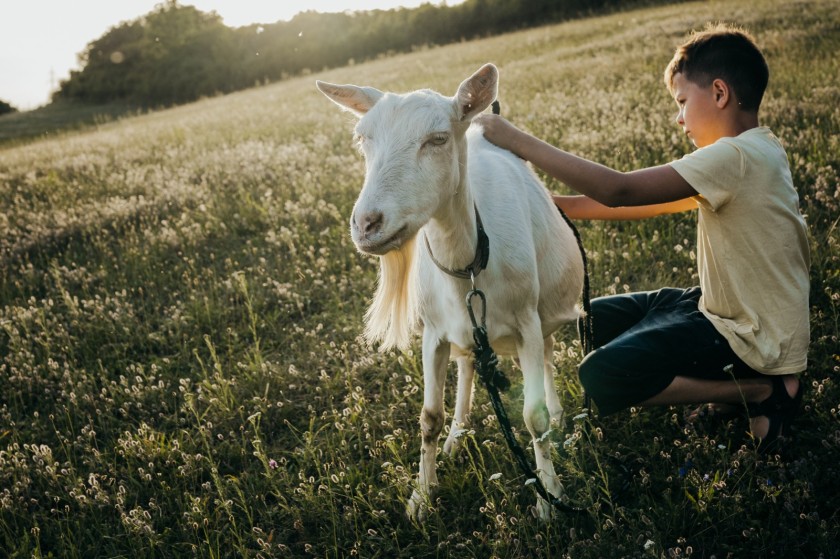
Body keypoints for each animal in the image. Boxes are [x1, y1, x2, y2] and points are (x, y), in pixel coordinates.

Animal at [316, 64, 584, 520]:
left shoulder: (527, 322)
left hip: (543, 315)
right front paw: (421, 497)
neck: (469, 264)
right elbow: (428, 416)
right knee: (470, 365)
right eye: (362, 137)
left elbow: (533, 417)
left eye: (438, 138)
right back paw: (457, 438)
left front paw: (550, 497)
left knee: (547, 357)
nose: (367, 224)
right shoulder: (434, 333)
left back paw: (559, 414)